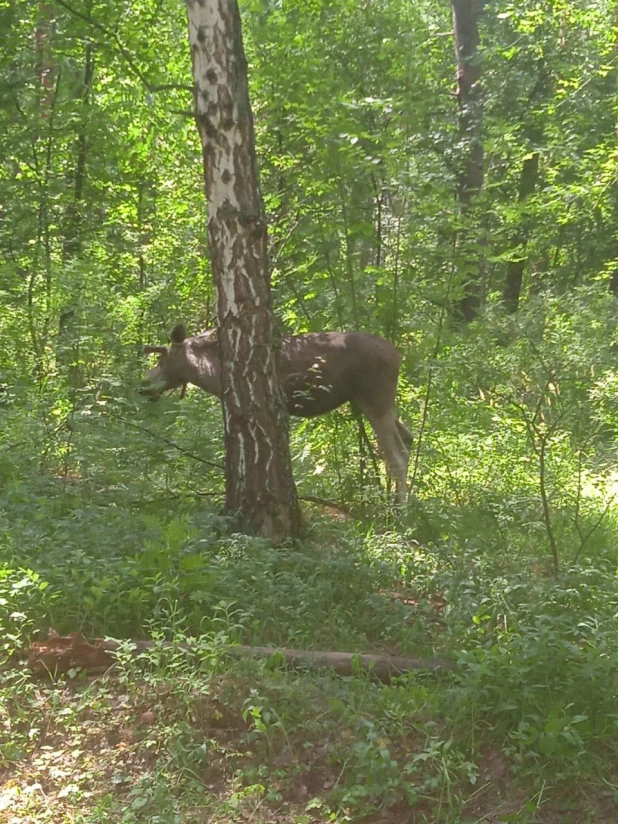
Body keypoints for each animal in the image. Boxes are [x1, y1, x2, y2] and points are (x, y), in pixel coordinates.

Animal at [142, 324, 412, 502]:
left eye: (162, 359)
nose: (143, 385)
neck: (211, 373)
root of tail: (399, 356)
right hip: (375, 402)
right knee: (407, 439)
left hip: (375, 398)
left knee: (397, 454)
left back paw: (399, 513)